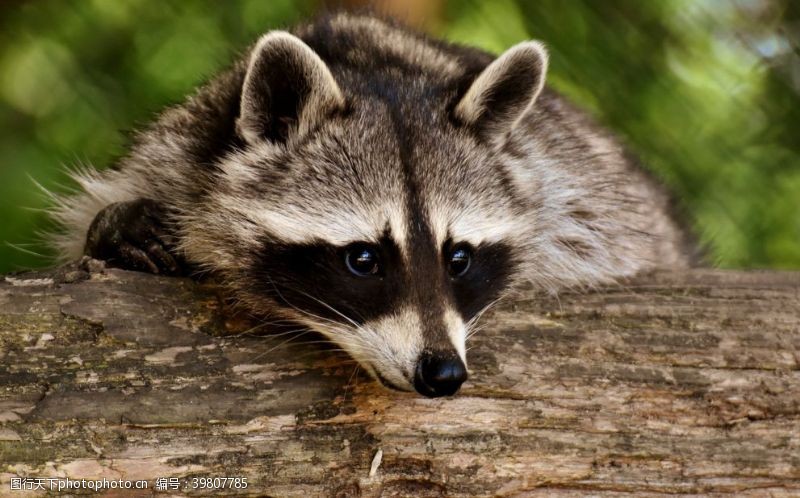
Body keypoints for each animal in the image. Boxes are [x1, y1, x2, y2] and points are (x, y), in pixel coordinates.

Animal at [48, 13, 688, 398]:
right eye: (363, 259)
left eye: (459, 258)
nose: (443, 373)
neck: (374, 69)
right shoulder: (175, 151)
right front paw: (117, 228)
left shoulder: (574, 189)